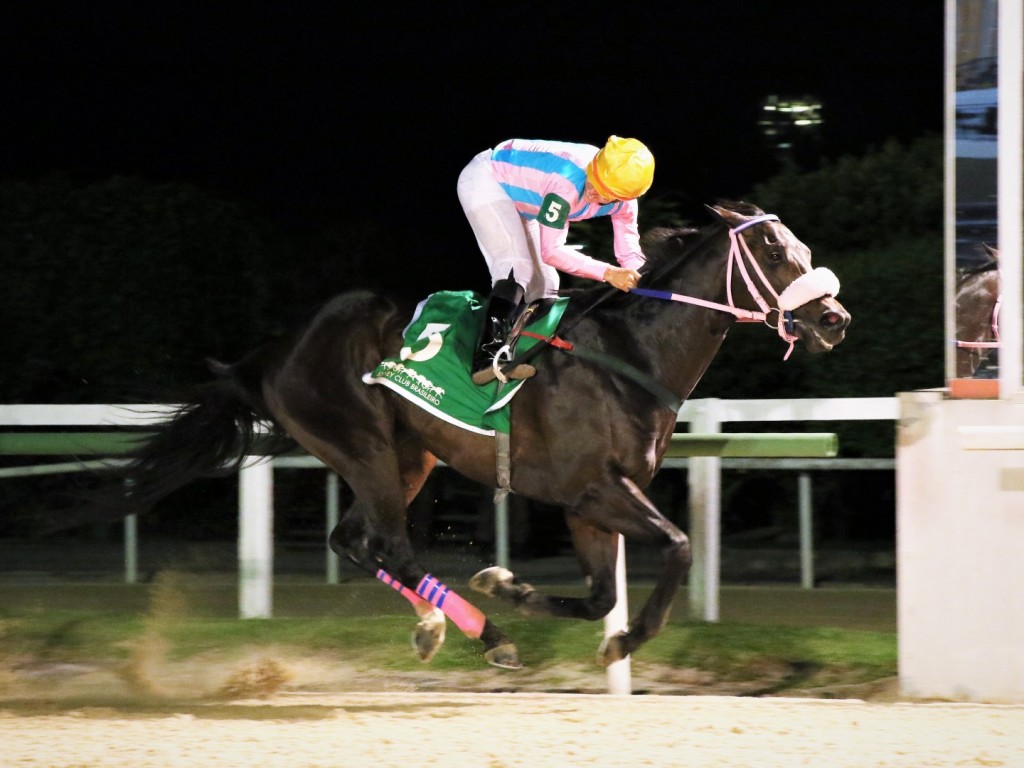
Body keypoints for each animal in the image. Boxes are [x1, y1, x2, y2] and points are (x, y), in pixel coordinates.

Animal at [90, 201, 847, 671]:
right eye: (774, 248)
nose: (834, 318)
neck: (630, 352)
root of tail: (276, 353)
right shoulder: (594, 488)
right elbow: (681, 547)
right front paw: (620, 640)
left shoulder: (590, 504)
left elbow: (602, 595)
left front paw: (510, 586)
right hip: (363, 445)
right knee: (390, 545)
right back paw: (488, 638)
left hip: (407, 458)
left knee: (353, 540)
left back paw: (437, 625)